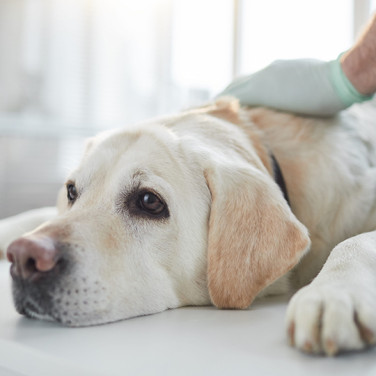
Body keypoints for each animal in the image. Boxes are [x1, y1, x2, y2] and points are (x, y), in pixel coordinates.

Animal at [0, 97, 376, 356]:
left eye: (149, 202)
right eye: (71, 192)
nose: (24, 258)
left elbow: (356, 240)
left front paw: (333, 293)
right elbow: (34, 215)